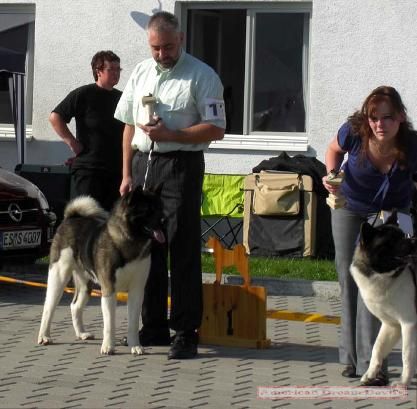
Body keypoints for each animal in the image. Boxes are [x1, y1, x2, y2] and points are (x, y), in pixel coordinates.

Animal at [37, 185, 164, 354]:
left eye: (161, 208)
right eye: (148, 210)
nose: (164, 219)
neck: (129, 241)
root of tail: (70, 218)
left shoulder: (137, 291)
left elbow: (133, 322)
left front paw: (135, 346)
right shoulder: (109, 289)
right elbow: (110, 322)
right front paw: (108, 346)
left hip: (85, 284)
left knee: (75, 306)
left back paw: (81, 334)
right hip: (58, 276)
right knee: (48, 307)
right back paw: (44, 336)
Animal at [350, 210, 416, 386]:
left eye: (403, 235)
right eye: (392, 240)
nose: (414, 240)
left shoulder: (409, 323)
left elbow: (406, 353)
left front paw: (403, 382)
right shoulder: (391, 325)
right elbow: (377, 348)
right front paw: (370, 375)